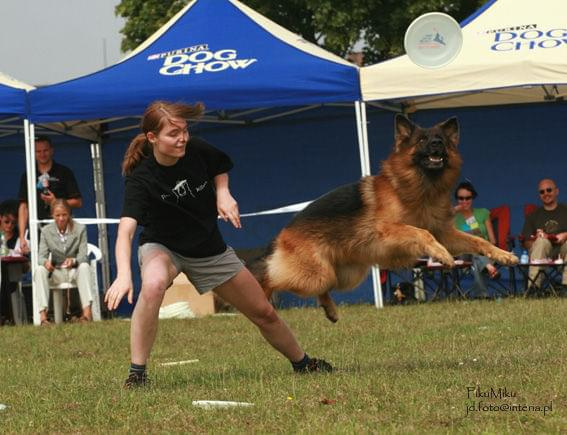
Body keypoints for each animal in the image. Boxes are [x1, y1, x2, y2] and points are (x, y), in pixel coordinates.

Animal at [252, 114, 520, 322]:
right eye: (422, 140)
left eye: (441, 140)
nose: (436, 144)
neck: (420, 189)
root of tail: (282, 234)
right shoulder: (388, 230)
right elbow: (422, 233)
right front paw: (442, 254)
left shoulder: (445, 233)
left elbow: (478, 241)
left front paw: (503, 255)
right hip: (315, 275)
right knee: (272, 278)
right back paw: (260, 294)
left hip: (345, 275)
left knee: (322, 288)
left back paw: (330, 310)